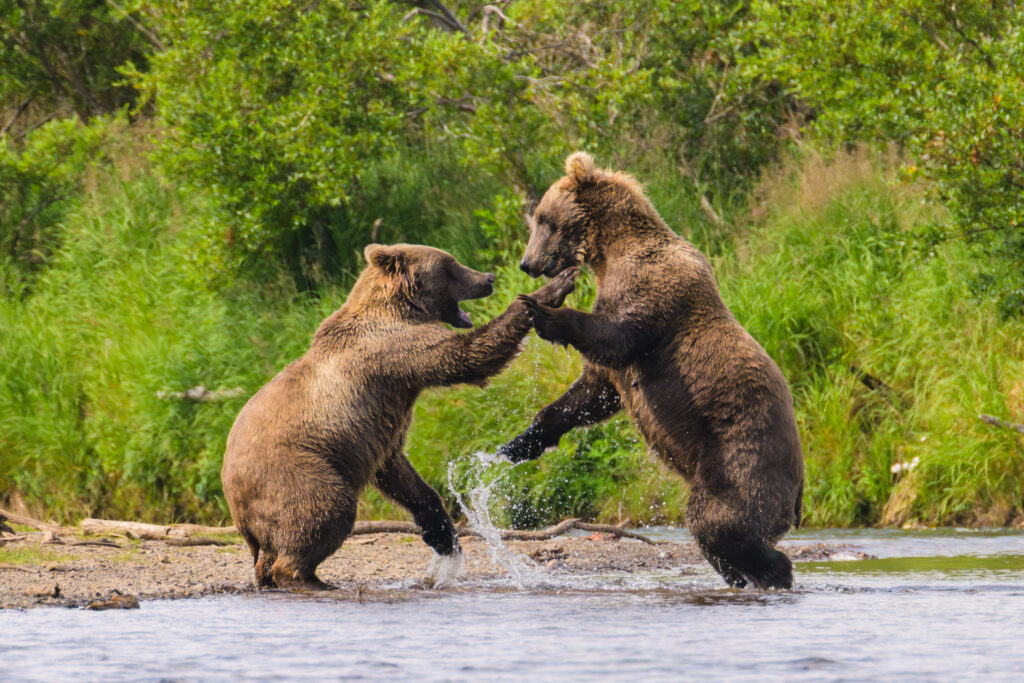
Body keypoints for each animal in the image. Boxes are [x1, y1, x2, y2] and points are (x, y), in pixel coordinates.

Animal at [222, 243, 577, 590]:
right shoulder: (396, 348)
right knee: (325, 509)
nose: (488, 278)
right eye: (451, 264)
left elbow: (399, 472)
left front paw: (442, 534)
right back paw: (309, 579)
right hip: (296, 471)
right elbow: (466, 355)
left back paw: (273, 576)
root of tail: (237, 508)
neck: (403, 306)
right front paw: (550, 289)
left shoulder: (380, 425)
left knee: (272, 547)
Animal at [499, 152, 804, 590]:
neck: (608, 253)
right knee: (718, 535)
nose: (527, 263)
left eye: (542, 219)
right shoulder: (614, 359)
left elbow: (617, 335)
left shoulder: (655, 293)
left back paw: (774, 571)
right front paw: (518, 444)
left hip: (739, 458)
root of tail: (799, 492)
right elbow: (590, 394)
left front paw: (541, 311)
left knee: (718, 519)